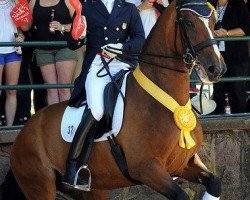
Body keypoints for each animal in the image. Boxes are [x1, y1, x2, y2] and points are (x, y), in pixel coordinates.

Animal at [3, 0, 227, 199]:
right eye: (188, 22)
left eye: (213, 21)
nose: (216, 68)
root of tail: (24, 131)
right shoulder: (146, 169)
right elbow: (181, 195)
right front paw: (80, 29)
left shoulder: (184, 163)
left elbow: (215, 183)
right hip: (39, 185)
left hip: (96, 188)